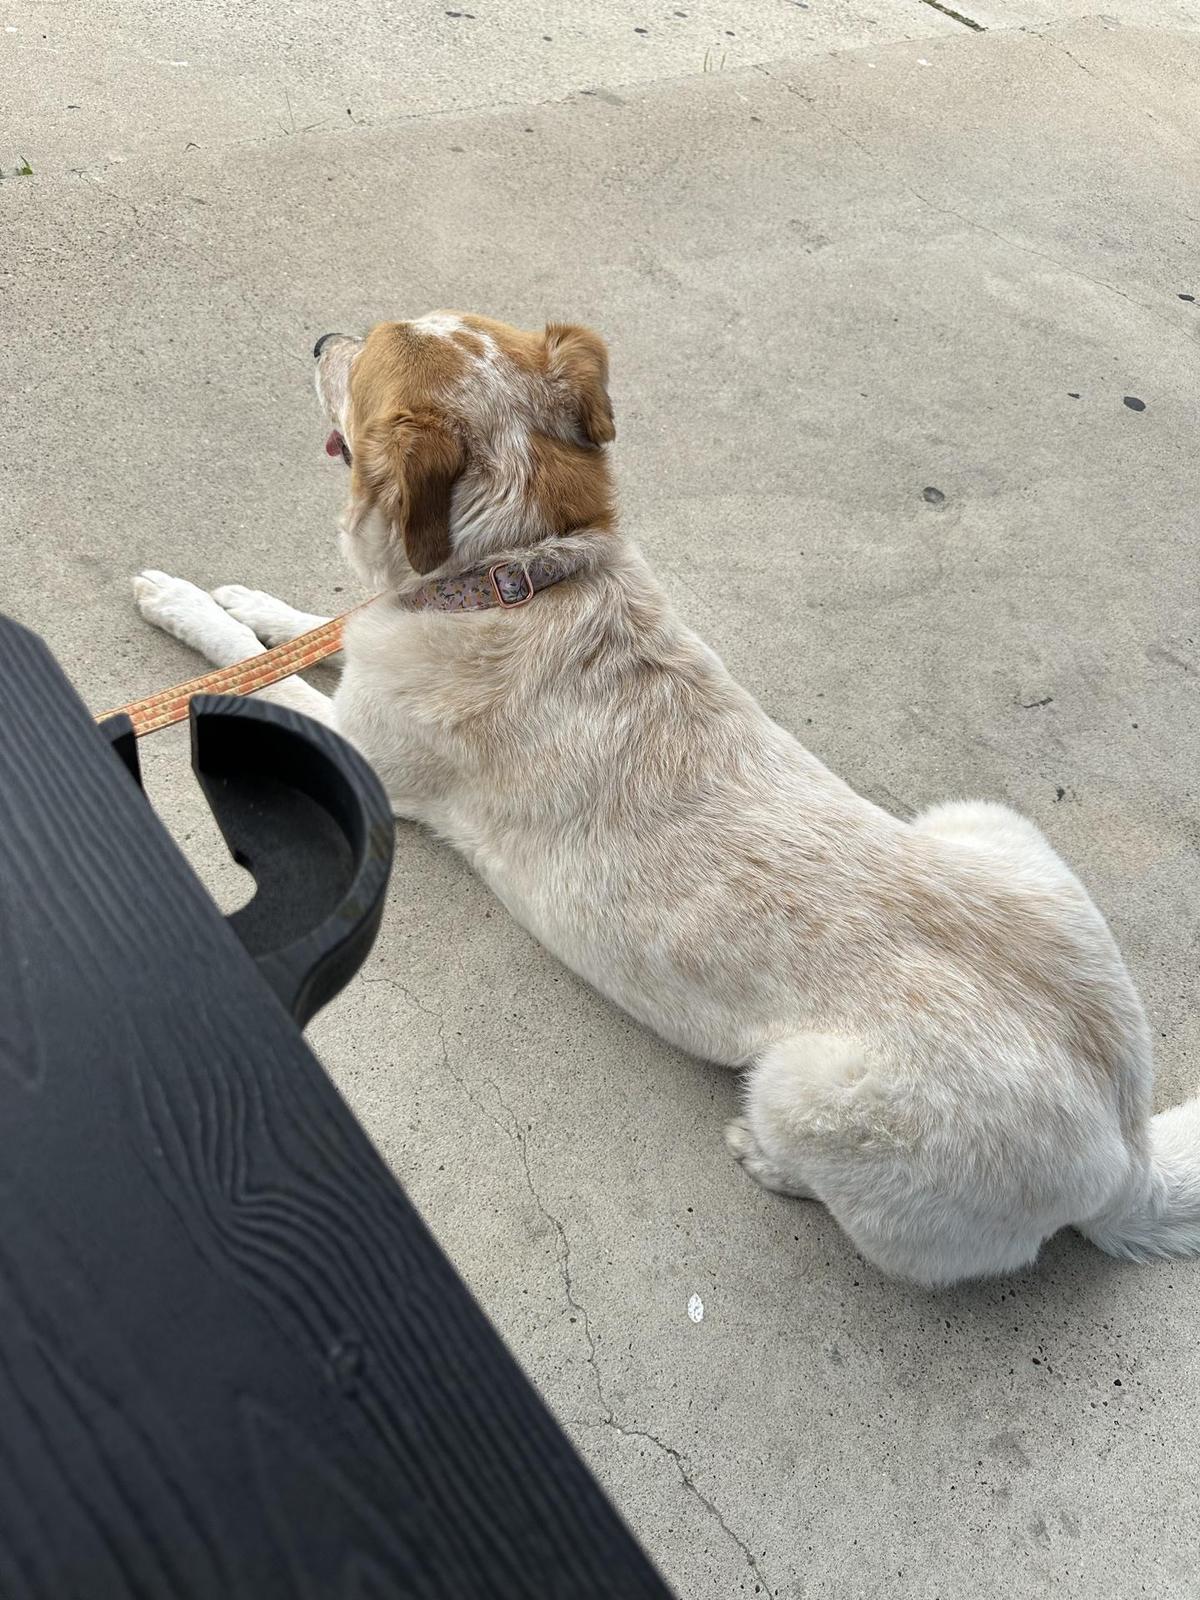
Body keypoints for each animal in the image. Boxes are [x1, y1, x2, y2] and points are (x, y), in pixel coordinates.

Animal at [133, 308, 1200, 1286]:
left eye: (359, 367)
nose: (320, 338)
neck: (522, 575)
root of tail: (1126, 1150)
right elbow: (302, 627)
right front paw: (241, 596)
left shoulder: (365, 758)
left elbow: (249, 679)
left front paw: (181, 605)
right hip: (982, 821)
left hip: (809, 1090)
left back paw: (764, 1160)